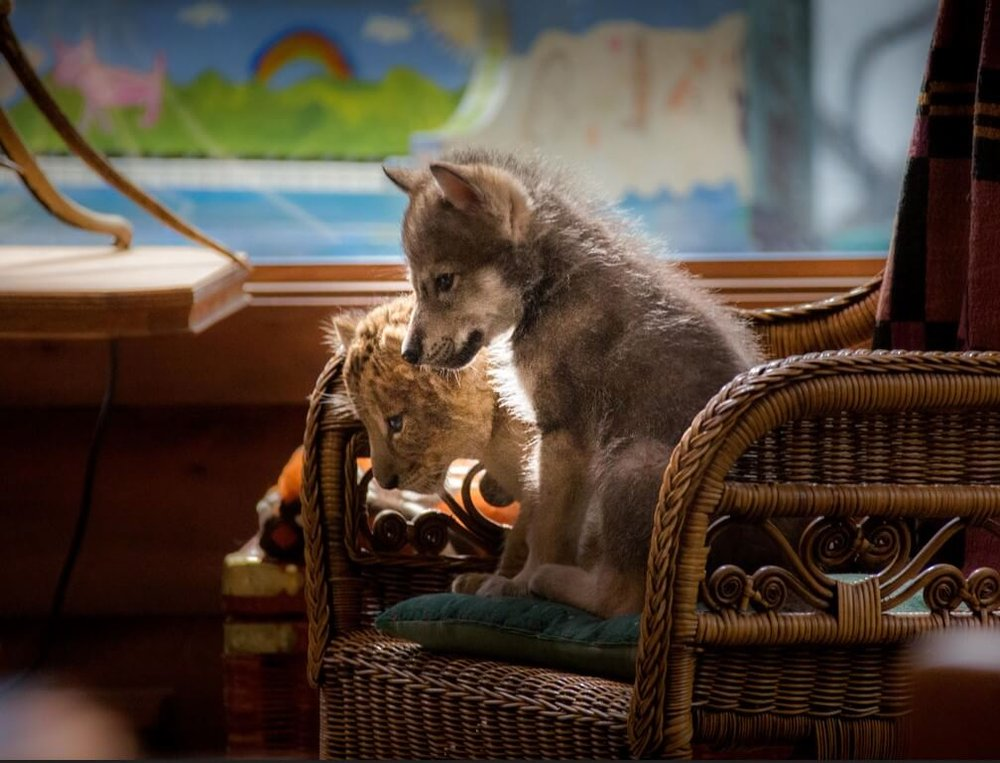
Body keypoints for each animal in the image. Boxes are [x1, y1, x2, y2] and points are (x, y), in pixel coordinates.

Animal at [384, 148, 761, 617]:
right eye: (416, 285)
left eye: (444, 281)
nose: (408, 354)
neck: (550, 289)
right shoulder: (547, 444)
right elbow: (533, 520)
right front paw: (490, 580)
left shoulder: (564, 436)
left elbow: (546, 530)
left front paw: (516, 585)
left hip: (631, 463)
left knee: (621, 598)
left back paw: (552, 582)